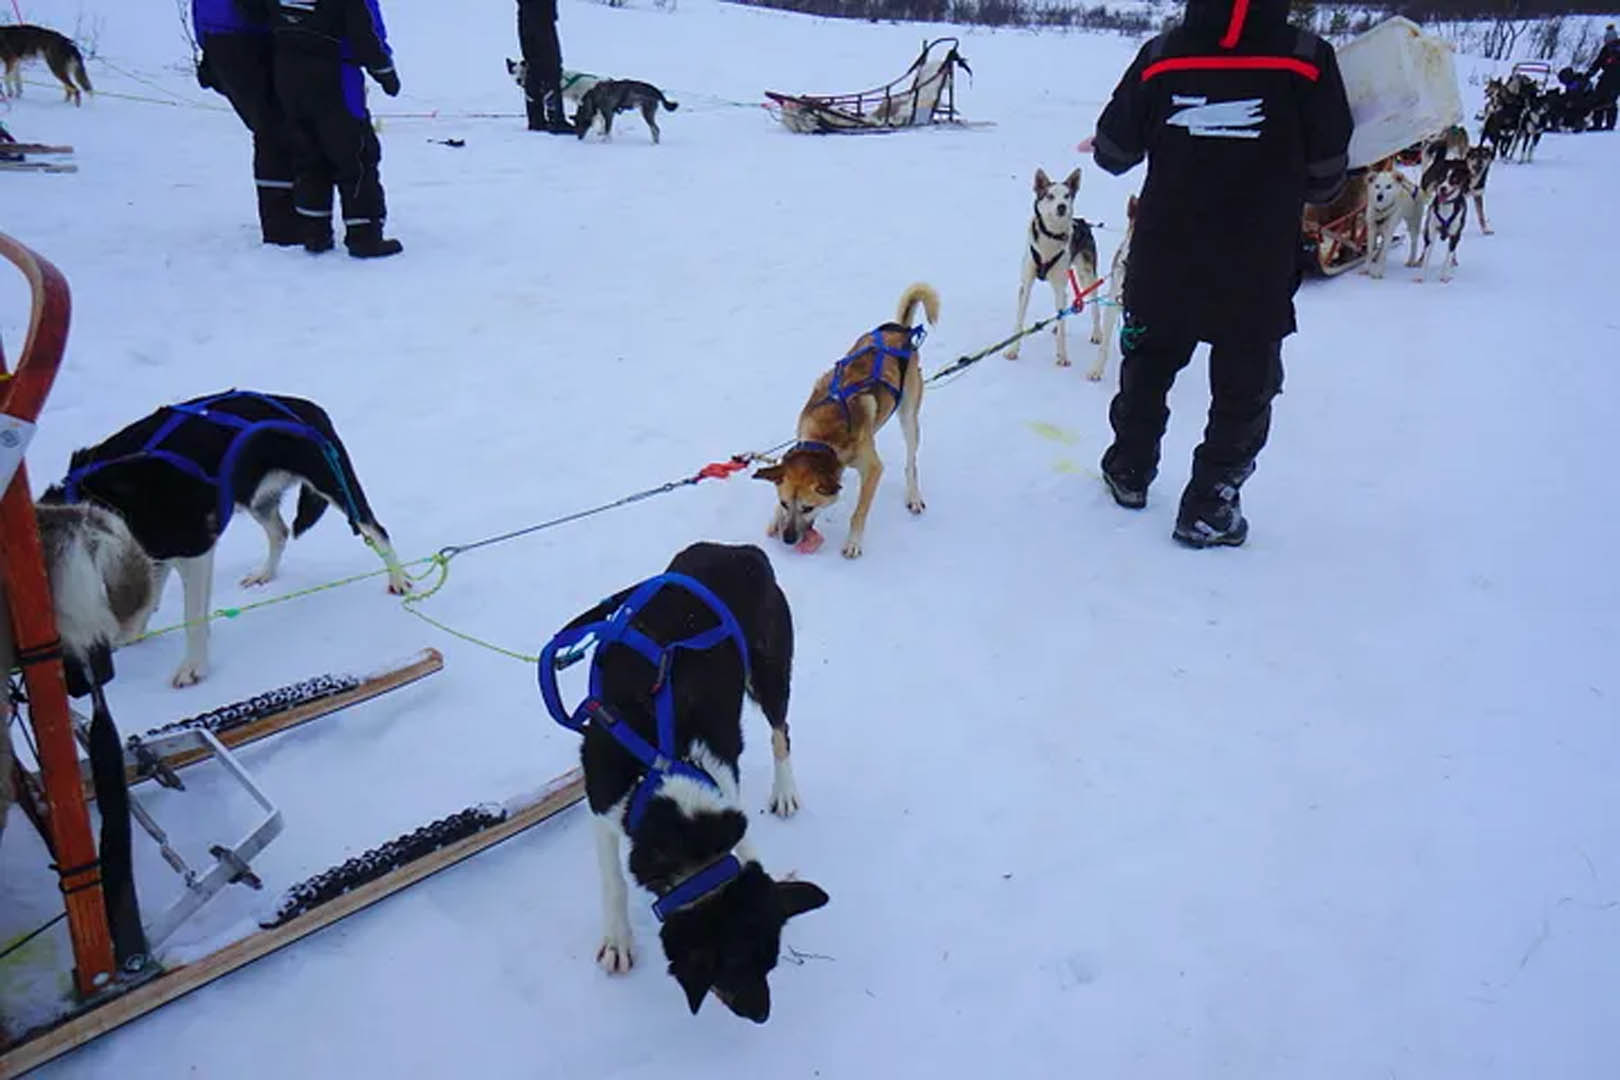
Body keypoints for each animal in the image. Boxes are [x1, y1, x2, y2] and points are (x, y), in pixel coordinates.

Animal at [541, 544, 829, 1029]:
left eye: (770, 961)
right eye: (729, 968)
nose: (762, 1016)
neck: (663, 767)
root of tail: (741, 551)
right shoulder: (601, 803)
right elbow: (613, 880)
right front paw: (618, 940)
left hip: (770, 672)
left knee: (781, 732)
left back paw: (785, 790)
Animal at [754, 283, 946, 563]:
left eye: (808, 507)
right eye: (784, 503)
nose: (788, 539)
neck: (825, 435)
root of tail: (899, 331)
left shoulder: (873, 469)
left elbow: (859, 512)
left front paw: (853, 542)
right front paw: (774, 519)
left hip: (909, 417)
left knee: (911, 463)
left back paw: (913, 495)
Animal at [1004, 165, 1108, 375]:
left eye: (1067, 195)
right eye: (1050, 195)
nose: (1062, 206)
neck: (1050, 240)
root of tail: (1082, 221)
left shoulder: (1060, 285)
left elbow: (1063, 329)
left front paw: (1063, 357)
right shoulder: (1026, 283)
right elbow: (1019, 320)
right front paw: (1012, 350)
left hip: (1087, 274)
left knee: (1093, 305)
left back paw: (1096, 333)